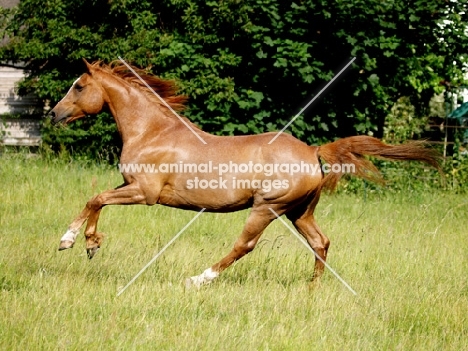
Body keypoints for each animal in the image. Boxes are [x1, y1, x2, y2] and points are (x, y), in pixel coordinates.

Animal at [49, 60, 440, 288]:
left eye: (79, 86)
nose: (53, 114)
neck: (153, 131)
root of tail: (313, 151)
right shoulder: (130, 185)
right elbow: (95, 200)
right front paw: (81, 242)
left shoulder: (145, 194)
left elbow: (96, 199)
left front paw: (80, 242)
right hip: (300, 212)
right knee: (321, 242)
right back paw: (312, 288)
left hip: (267, 207)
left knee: (244, 245)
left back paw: (199, 279)